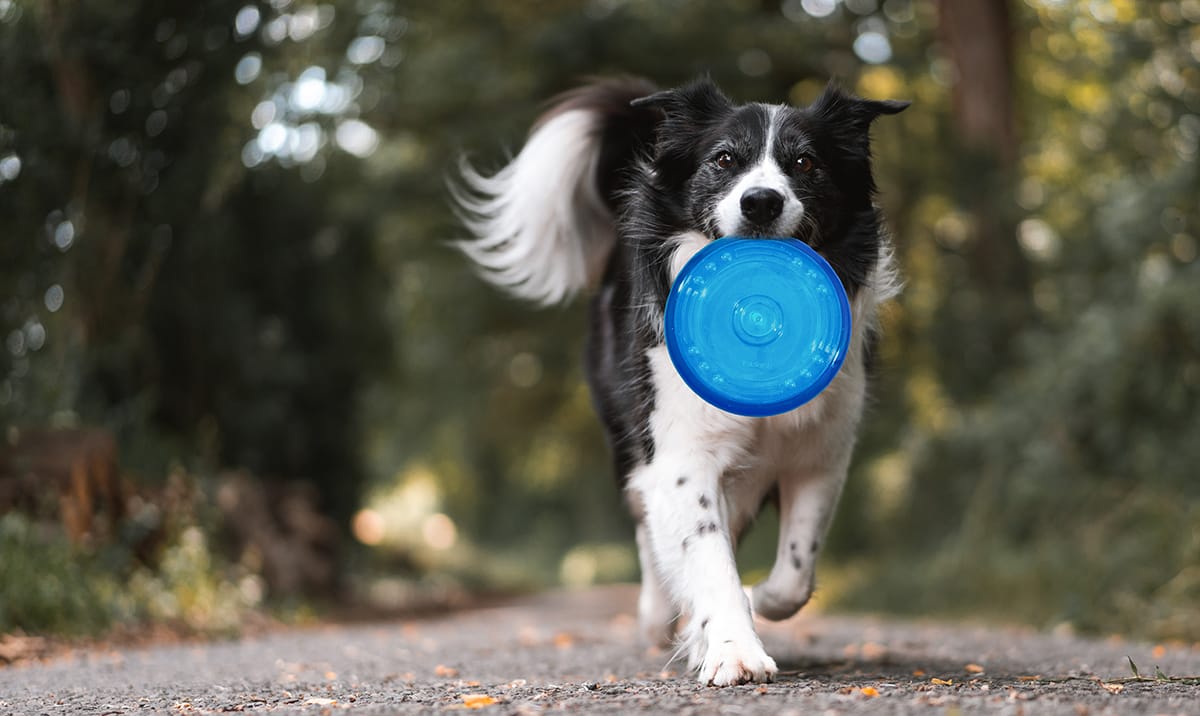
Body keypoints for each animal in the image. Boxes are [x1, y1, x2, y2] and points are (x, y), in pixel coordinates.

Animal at [453, 75, 902, 686]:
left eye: (806, 162)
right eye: (724, 159)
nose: (761, 201)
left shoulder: (820, 453)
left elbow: (793, 574)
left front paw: (750, 608)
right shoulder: (681, 452)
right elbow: (707, 557)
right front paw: (734, 649)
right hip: (630, 440)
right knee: (650, 529)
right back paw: (658, 617)